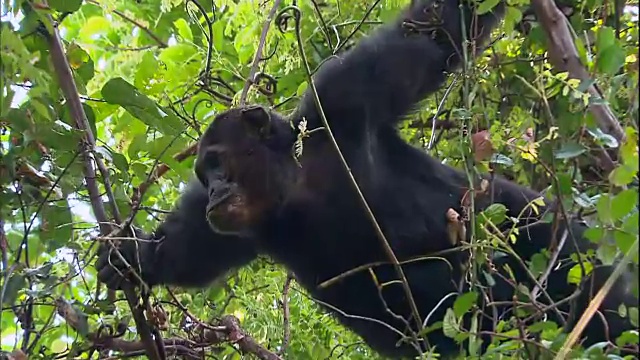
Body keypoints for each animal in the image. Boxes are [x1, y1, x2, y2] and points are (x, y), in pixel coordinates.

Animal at [97, 0, 636, 358]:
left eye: (216, 162)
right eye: (204, 174)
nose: (214, 190)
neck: (296, 187)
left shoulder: (347, 95)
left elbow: (432, 31)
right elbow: (186, 252)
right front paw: (130, 256)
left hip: (550, 236)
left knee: (597, 291)